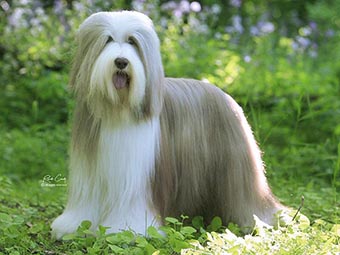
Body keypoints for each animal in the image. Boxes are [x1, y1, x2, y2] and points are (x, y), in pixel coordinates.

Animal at [51, 11, 284, 239]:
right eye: (107, 39)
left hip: (237, 170)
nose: (121, 62)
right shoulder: (90, 175)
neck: (117, 109)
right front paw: (72, 227)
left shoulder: (136, 179)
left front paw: (126, 230)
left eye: (132, 41)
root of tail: (226, 96)